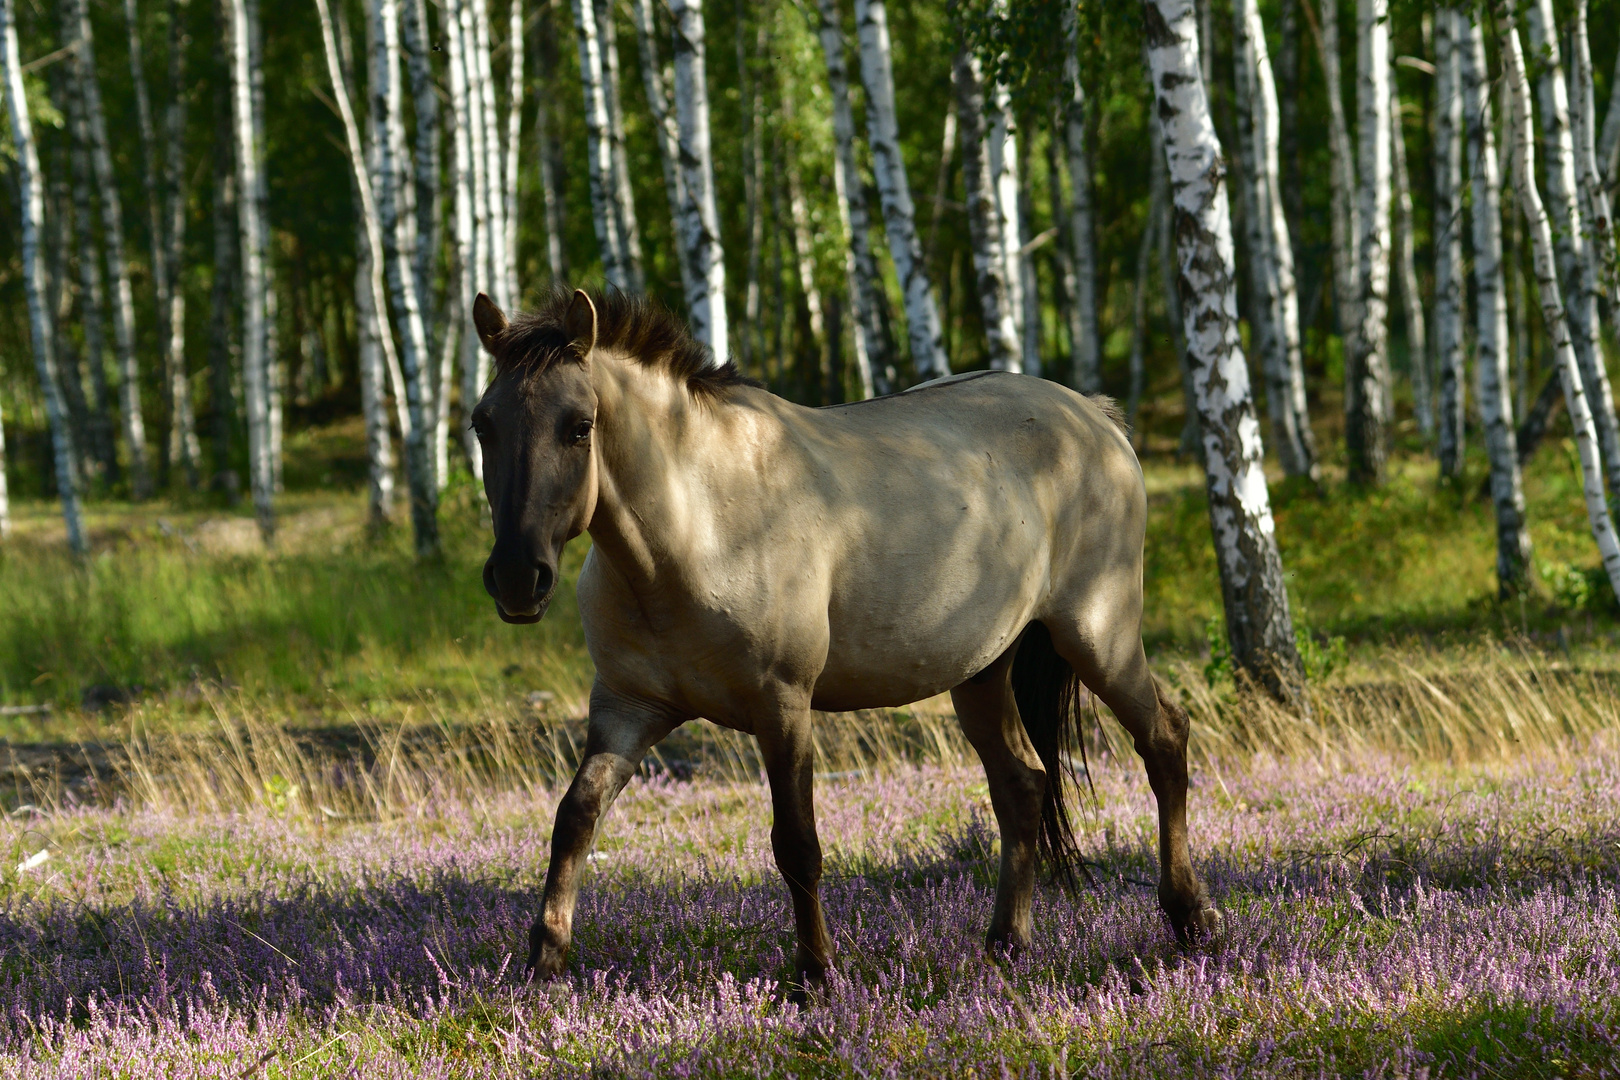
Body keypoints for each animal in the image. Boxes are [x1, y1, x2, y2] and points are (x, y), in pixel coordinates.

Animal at [463, 286, 1218, 997]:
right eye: (482, 423)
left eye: (578, 426)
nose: (516, 578)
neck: (697, 527)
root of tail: (1095, 416)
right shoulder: (627, 709)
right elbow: (575, 818)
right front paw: (543, 967)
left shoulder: (782, 707)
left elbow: (796, 843)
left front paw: (817, 976)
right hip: (982, 673)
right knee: (1023, 788)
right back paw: (1006, 944)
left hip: (1097, 634)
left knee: (1164, 741)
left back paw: (1191, 919)